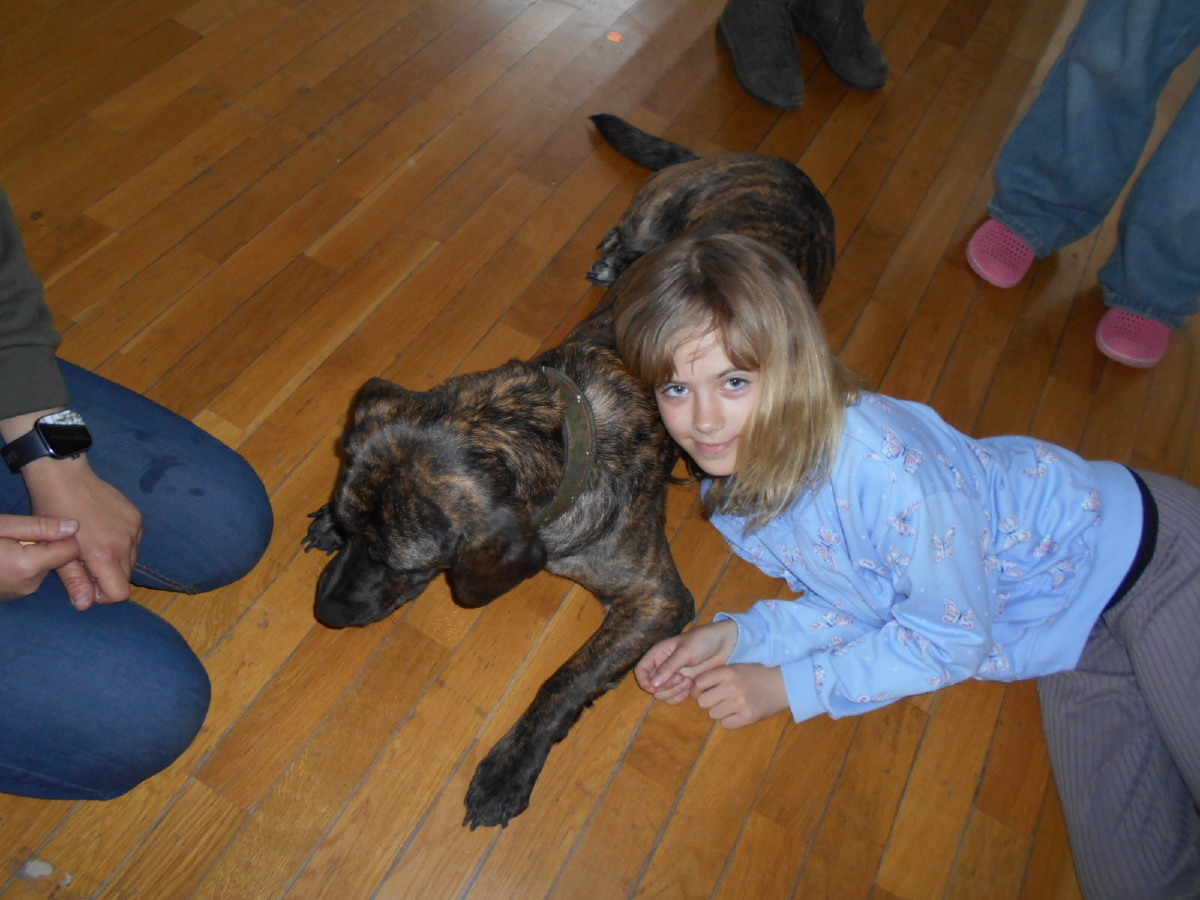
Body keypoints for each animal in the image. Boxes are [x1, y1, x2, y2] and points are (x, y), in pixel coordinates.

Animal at [305, 309, 695, 829]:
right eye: (350, 531)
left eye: (395, 562)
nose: (325, 610)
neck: (560, 428)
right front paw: (327, 522)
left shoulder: (657, 598)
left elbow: (566, 679)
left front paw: (509, 769)